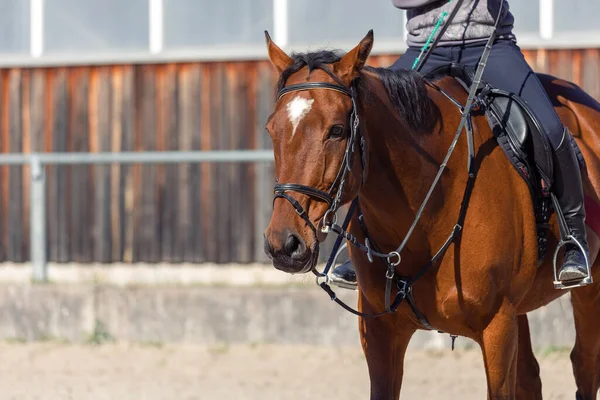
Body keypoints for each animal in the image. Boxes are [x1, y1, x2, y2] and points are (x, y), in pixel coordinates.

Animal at [264, 28, 600, 400]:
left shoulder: (497, 327)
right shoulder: (380, 332)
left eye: (337, 130)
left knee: (584, 365)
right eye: (271, 129)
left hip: (586, 291)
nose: (285, 244)